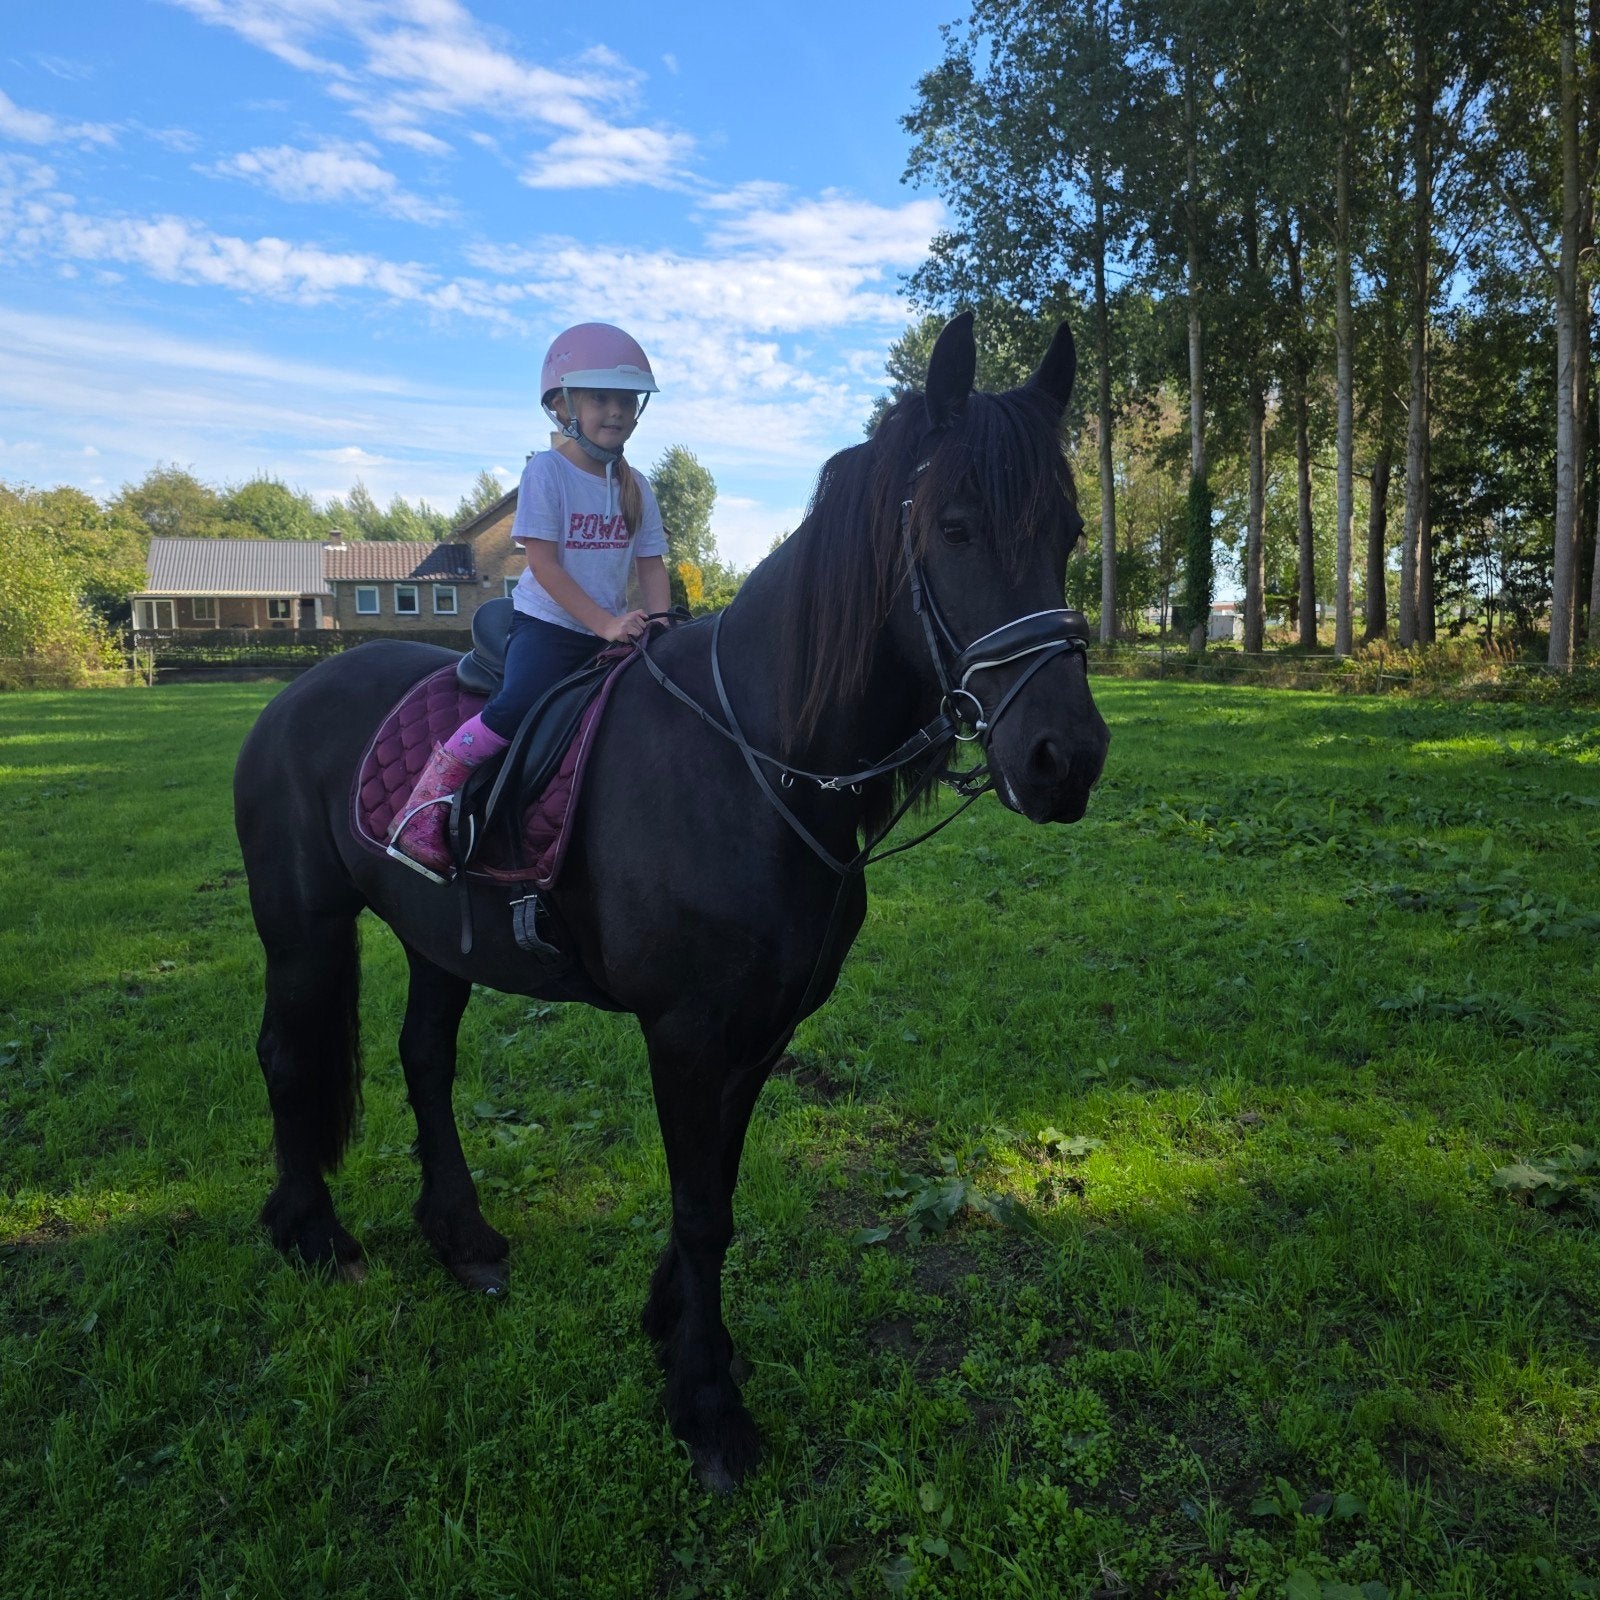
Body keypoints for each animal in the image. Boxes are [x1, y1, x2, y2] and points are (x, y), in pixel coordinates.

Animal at [233, 313, 1110, 1489]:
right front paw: (706, 1404)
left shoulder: (761, 1027)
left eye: (1066, 529)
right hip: (302, 925)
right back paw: (313, 1233)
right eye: (958, 526)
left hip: (435, 938)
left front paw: (677, 1326)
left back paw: (459, 1235)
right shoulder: (688, 1032)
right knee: (289, 1055)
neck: (756, 758)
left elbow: (717, 1192)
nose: (1066, 759)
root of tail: (291, 693)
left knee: (425, 1061)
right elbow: (701, 1210)